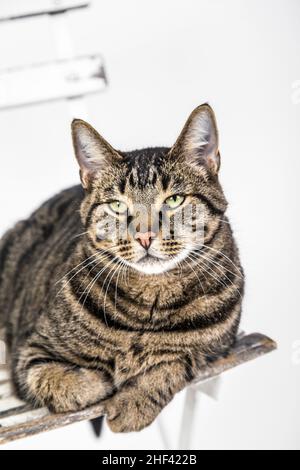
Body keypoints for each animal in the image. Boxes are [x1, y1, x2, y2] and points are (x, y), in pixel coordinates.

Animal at [0, 104, 244, 432]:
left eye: (174, 199)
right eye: (117, 205)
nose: (144, 236)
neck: (150, 299)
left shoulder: (217, 348)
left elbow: (174, 362)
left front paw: (133, 403)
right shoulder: (30, 351)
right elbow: (57, 381)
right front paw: (99, 381)